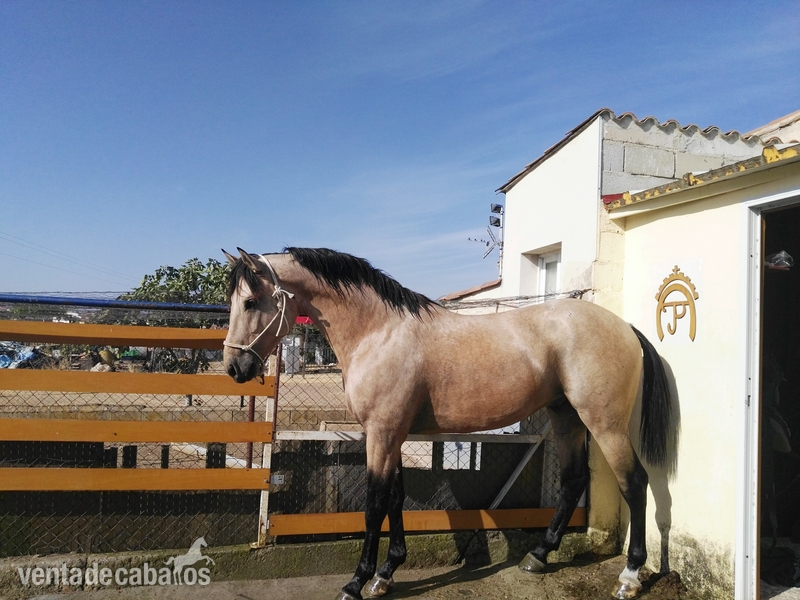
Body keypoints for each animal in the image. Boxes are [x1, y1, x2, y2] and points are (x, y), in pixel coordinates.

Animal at [222, 247, 671, 600]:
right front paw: (386, 575)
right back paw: (539, 556)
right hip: (567, 417)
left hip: (604, 423)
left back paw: (630, 576)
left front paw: (356, 582)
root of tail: (624, 327)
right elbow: (396, 499)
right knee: (574, 480)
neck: (379, 332)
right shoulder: (394, 435)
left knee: (635, 483)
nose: (234, 368)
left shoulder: (381, 434)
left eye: (250, 302)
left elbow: (374, 504)